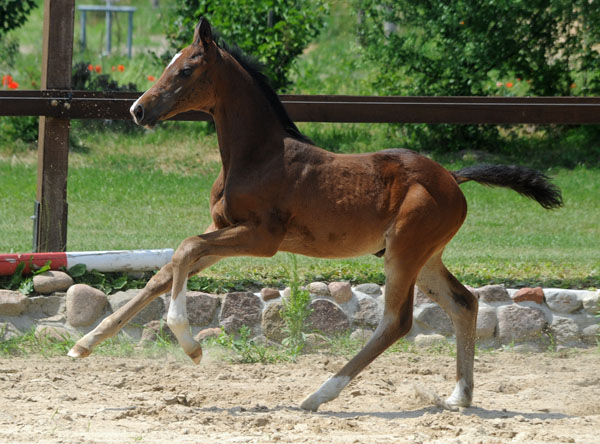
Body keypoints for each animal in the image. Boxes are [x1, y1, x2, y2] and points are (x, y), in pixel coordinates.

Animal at [70, 19, 564, 412]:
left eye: (186, 69)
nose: (138, 109)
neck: (257, 155)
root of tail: (453, 178)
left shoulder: (261, 238)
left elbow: (185, 249)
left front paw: (189, 345)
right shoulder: (225, 229)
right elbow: (167, 268)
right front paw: (84, 344)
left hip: (405, 251)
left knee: (396, 322)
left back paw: (318, 395)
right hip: (426, 256)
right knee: (464, 302)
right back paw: (459, 396)